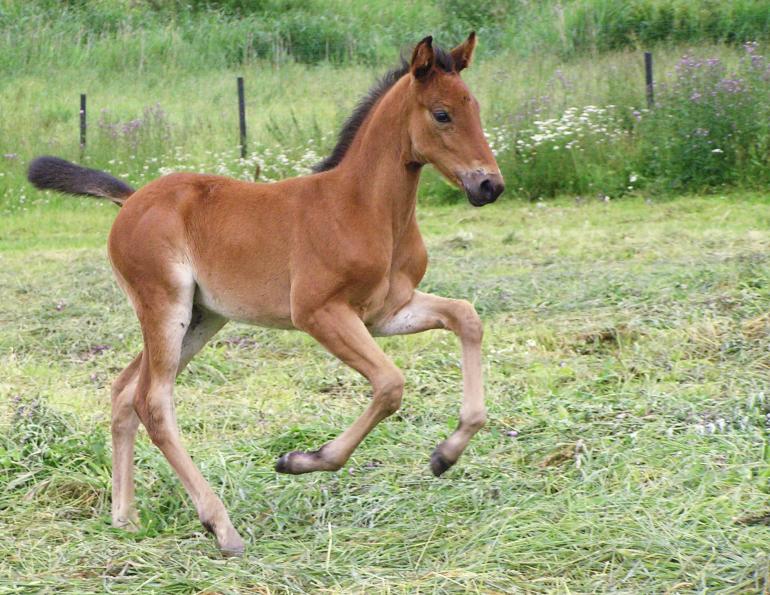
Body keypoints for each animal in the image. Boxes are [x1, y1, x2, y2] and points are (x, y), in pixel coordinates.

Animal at [27, 31, 500, 556]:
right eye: (441, 114)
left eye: (475, 107)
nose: (489, 184)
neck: (363, 208)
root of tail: (131, 201)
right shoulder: (319, 313)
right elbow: (390, 384)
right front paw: (301, 460)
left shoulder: (386, 312)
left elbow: (466, 317)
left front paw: (445, 455)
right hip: (165, 306)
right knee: (153, 401)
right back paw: (221, 527)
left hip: (202, 317)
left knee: (125, 390)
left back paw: (124, 517)